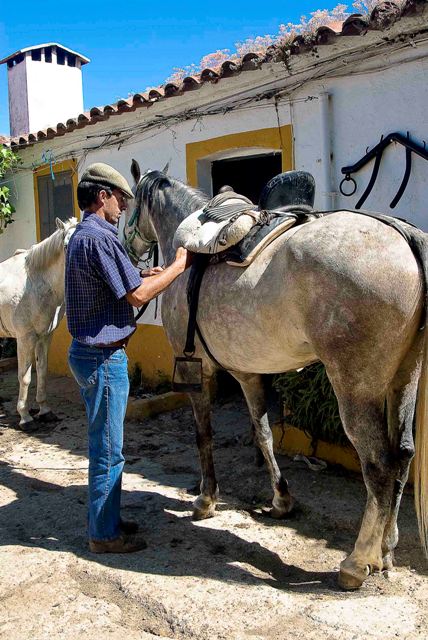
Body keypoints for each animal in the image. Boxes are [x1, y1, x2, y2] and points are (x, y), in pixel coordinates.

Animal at [0, 219, 77, 424]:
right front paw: (25, 416)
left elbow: (42, 370)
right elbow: (25, 377)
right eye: (66, 246)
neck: (36, 282)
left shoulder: (45, 336)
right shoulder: (25, 338)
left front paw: (44, 410)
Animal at [126, 162, 428, 592]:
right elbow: (264, 433)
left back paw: (357, 562)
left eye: (128, 205)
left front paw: (206, 500)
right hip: (405, 377)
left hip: (356, 389)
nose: (129, 248)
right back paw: (385, 550)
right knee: (402, 456)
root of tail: (402, 235)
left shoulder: (194, 369)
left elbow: (203, 435)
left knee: (378, 465)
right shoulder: (249, 374)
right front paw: (282, 500)